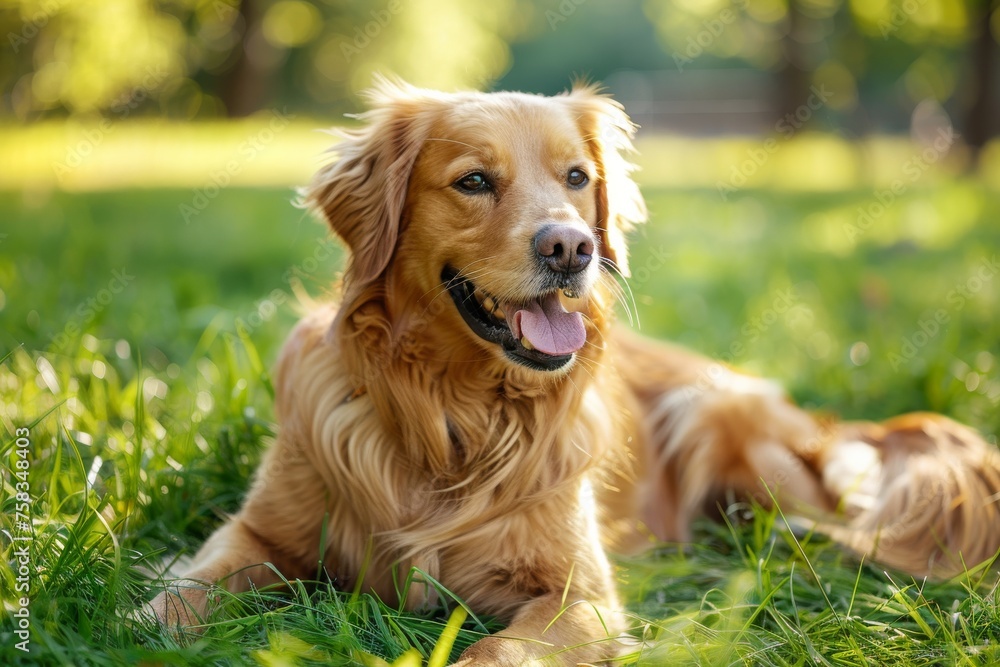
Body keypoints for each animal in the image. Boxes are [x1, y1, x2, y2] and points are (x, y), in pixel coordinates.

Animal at [152, 81, 1000, 664]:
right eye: (473, 181)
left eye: (575, 178)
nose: (571, 248)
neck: (453, 412)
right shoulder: (256, 531)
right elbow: (185, 589)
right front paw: (141, 623)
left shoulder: (578, 596)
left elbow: (501, 649)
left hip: (716, 419)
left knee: (836, 515)